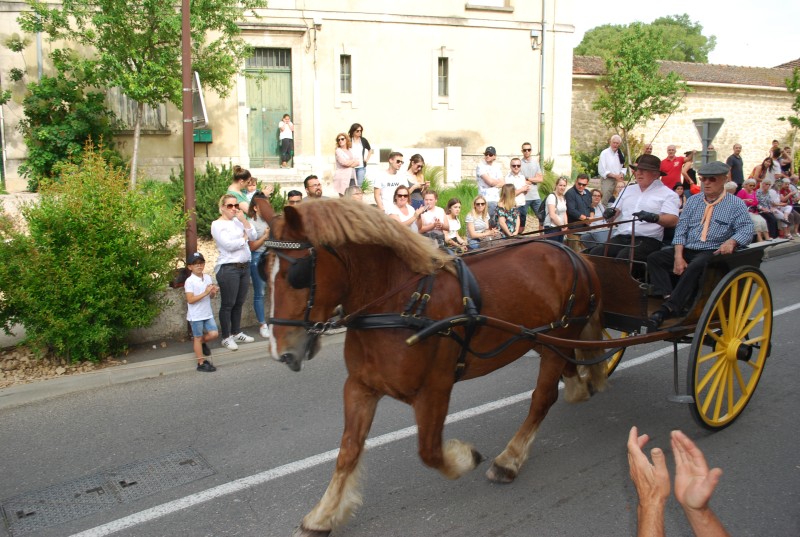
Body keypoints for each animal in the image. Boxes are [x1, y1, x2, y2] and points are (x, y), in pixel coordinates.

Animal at [256, 198, 608, 536]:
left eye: (297, 274)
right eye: (262, 270)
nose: (281, 352)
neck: (400, 305)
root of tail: (575, 255)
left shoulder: (435, 389)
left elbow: (430, 451)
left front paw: (464, 458)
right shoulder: (359, 386)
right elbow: (348, 450)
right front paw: (323, 516)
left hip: (557, 339)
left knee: (542, 399)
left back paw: (509, 460)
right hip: (538, 339)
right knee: (568, 375)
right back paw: (583, 386)